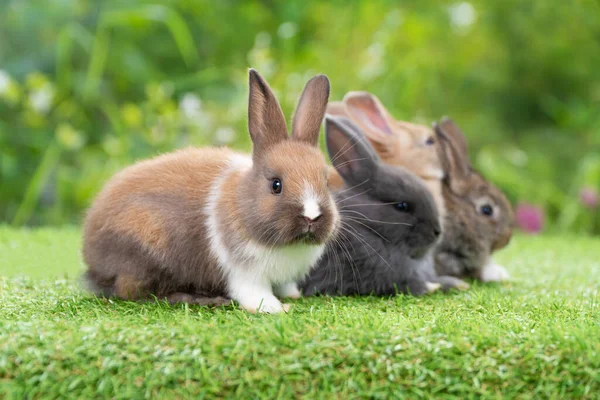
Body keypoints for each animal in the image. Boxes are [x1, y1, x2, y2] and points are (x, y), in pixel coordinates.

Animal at [82, 68, 340, 312]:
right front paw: (274, 308)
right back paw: (200, 298)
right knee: (136, 292)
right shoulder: (244, 273)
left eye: (326, 182)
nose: (311, 216)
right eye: (276, 185)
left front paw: (292, 295)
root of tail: (91, 255)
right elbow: (254, 293)